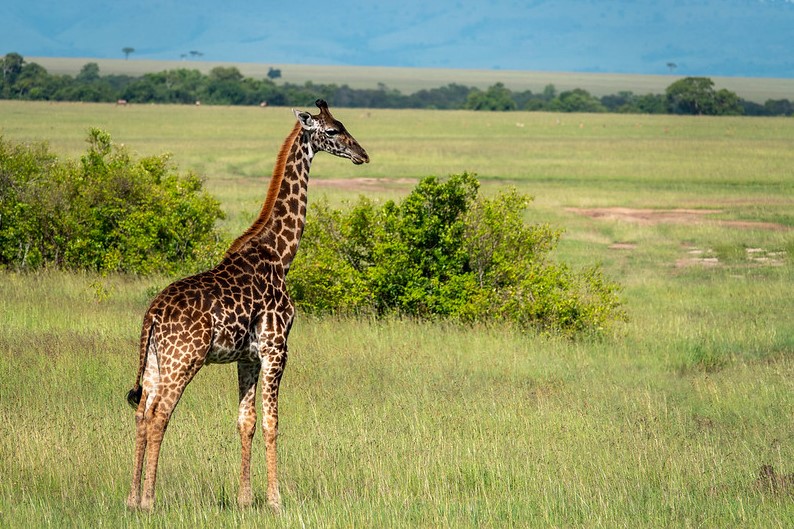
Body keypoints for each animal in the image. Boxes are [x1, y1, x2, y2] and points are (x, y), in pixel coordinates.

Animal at [125, 99, 369, 512]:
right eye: (333, 130)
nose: (362, 154)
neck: (281, 255)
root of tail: (153, 315)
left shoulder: (247, 357)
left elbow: (246, 421)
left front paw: (243, 498)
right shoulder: (276, 348)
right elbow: (272, 422)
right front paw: (275, 499)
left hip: (156, 361)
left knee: (142, 414)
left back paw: (130, 499)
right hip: (183, 359)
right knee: (159, 416)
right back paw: (149, 501)